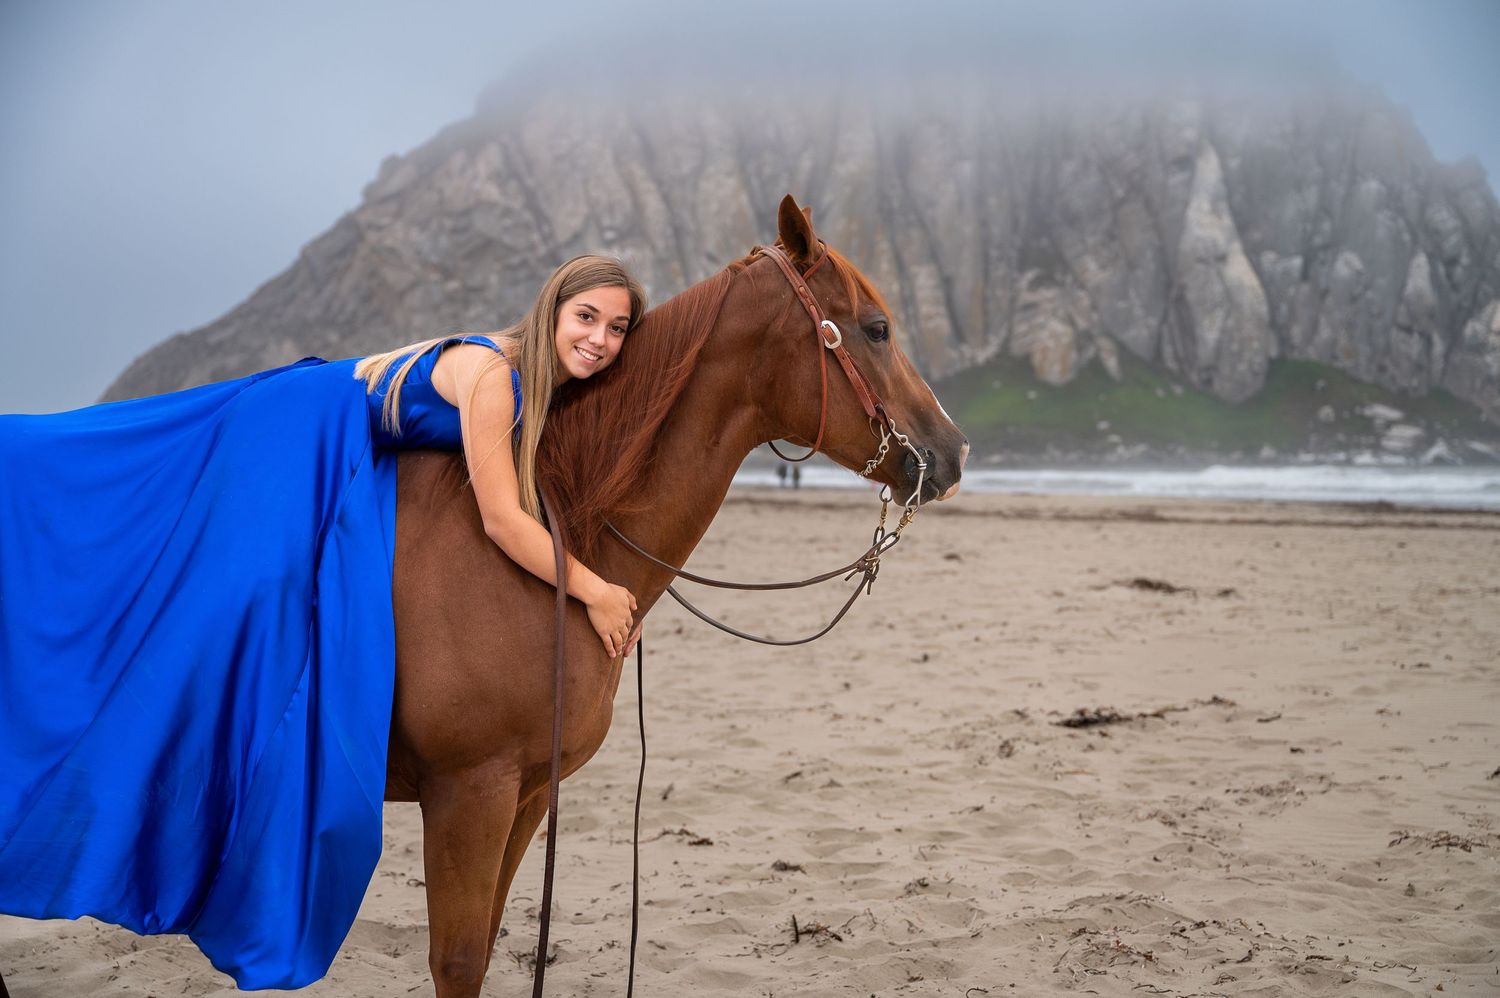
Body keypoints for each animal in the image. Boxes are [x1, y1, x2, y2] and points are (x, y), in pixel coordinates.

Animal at [377, 195, 967, 996]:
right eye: (877, 328)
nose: (955, 451)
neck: (554, 534)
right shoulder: (468, 796)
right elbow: (459, 961)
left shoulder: (524, 795)